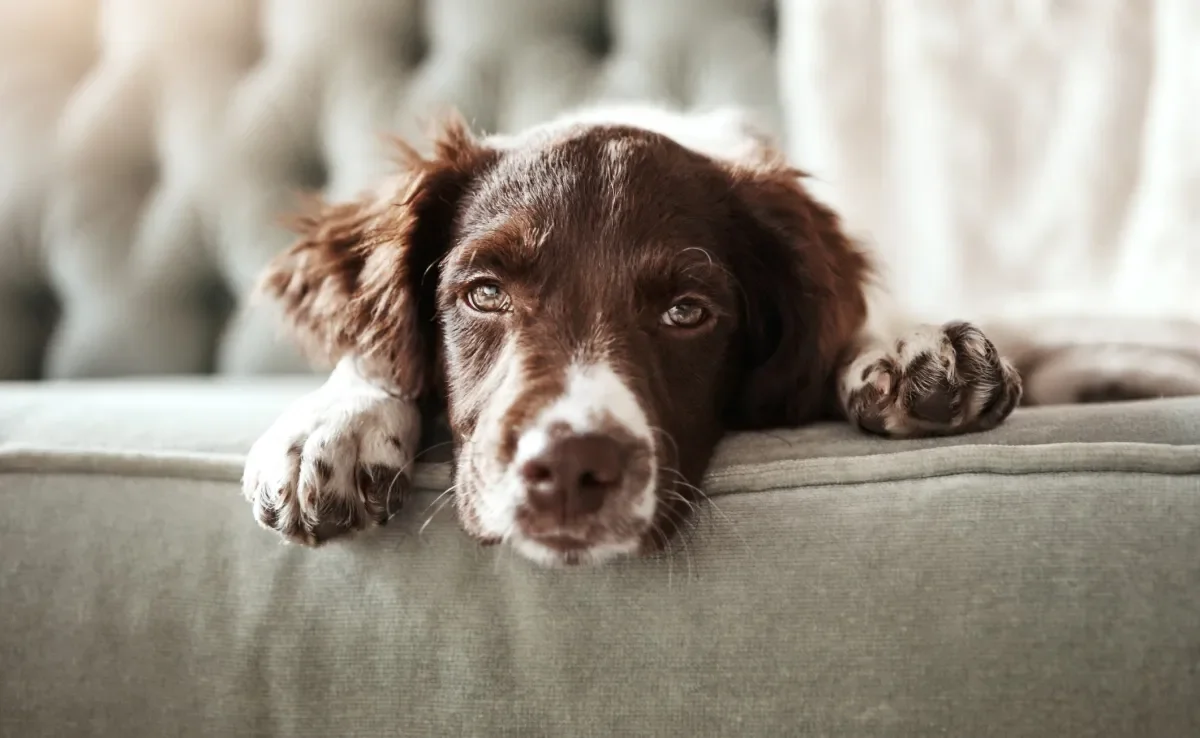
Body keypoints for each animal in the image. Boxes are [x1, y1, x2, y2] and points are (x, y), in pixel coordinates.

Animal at [243, 102, 1032, 566]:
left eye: (687, 311)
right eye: (485, 293)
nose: (569, 468)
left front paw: (908, 350)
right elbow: (373, 354)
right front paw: (333, 424)